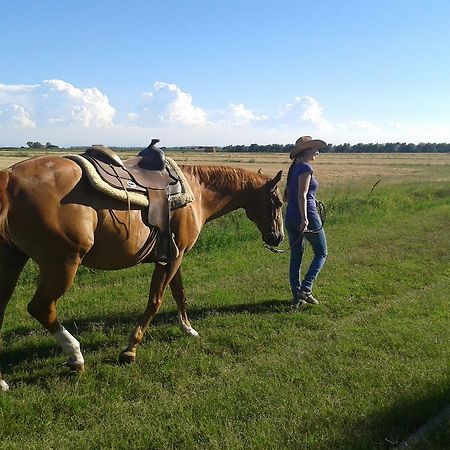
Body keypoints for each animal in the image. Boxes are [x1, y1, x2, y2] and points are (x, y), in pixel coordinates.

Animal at [0, 152, 282, 390]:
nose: (278, 237)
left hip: (12, 261)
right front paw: (130, 349)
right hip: (63, 264)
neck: (197, 191)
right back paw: (76, 356)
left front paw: (188, 329)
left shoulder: (174, 256)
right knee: (42, 308)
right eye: (278, 201)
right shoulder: (171, 259)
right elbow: (155, 301)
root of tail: (9, 178)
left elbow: (179, 294)